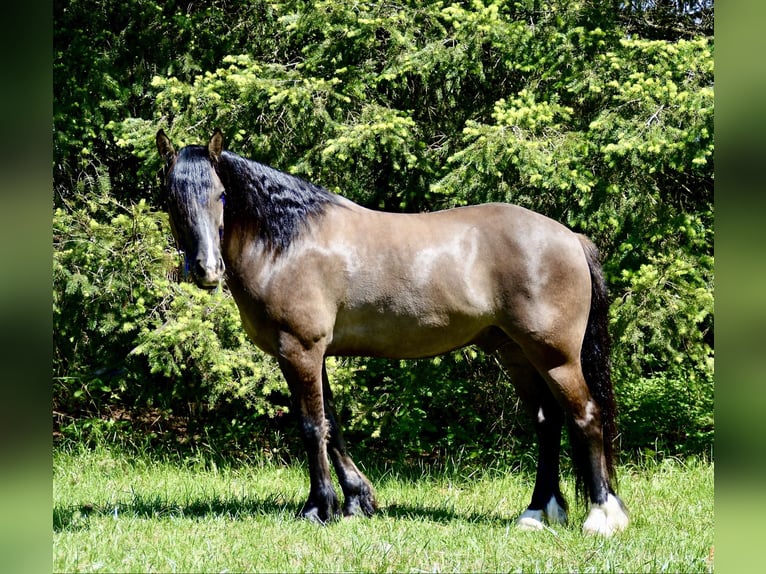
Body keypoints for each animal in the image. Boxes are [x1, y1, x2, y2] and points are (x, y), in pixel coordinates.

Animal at [154, 129, 632, 536]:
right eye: (172, 198)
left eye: (220, 194)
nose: (207, 269)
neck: (287, 243)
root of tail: (570, 237)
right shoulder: (316, 354)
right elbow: (332, 424)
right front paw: (356, 501)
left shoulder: (299, 350)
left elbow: (311, 426)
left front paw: (318, 508)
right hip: (516, 353)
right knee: (547, 422)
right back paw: (536, 513)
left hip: (556, 356)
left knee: (585, 416)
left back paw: (602, 517)